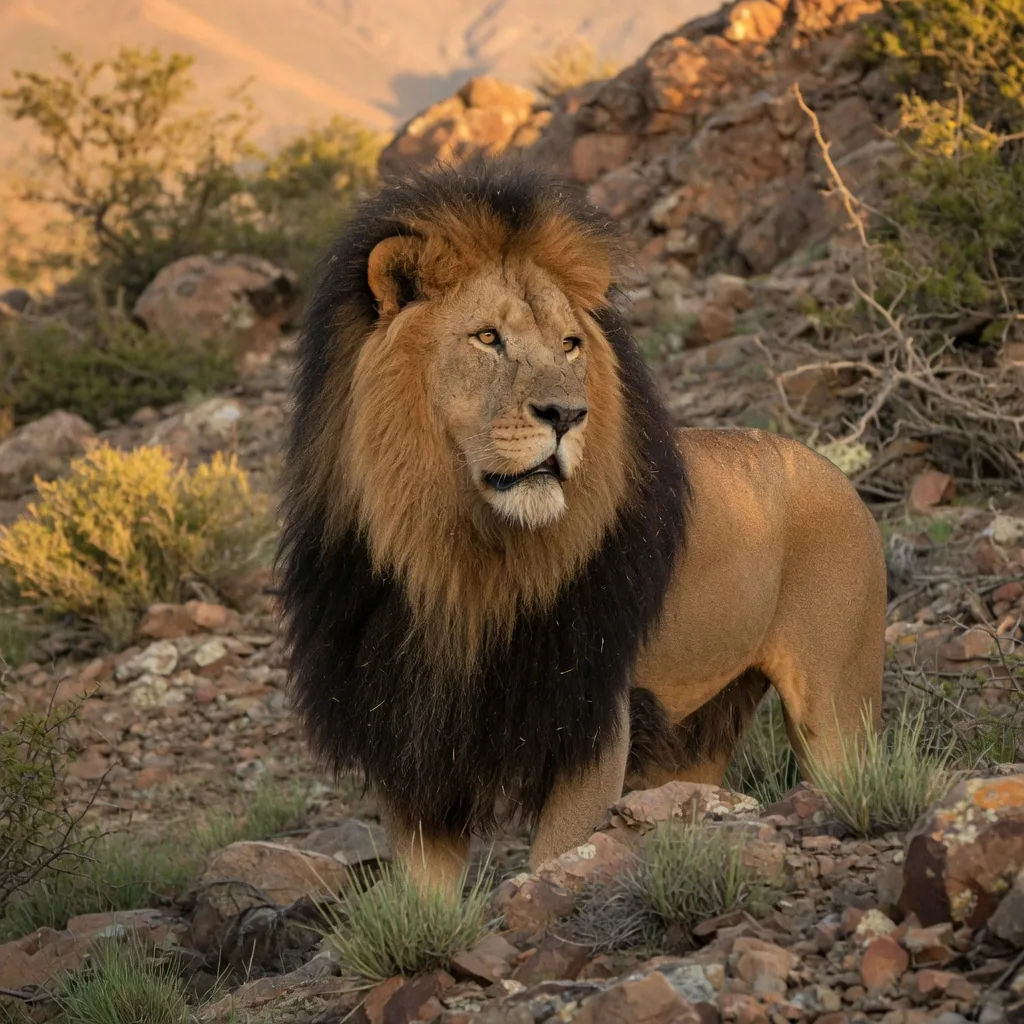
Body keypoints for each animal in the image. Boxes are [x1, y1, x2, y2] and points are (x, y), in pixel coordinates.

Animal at [277, 161, 887, 892]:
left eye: (569, 345)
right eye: (488, 337)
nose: (567, 415)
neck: (455, 552)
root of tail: (832, 470)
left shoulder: (590, 721)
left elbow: (558, 858)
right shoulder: (414, 741)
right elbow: (426, 899)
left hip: (837, 708)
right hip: (700, 728)